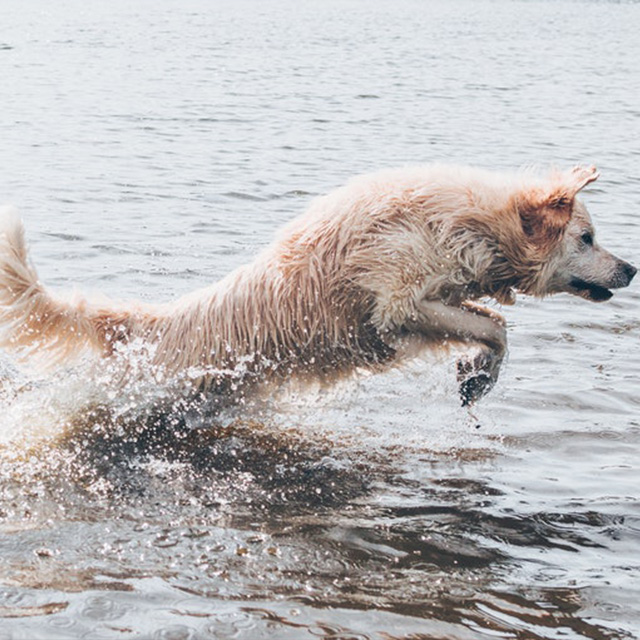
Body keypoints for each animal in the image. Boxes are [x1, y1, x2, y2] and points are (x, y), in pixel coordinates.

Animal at [0, 165, 632, 404]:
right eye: (588, 238)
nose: (631, 269)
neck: (468, 223)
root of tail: (149, 325)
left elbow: (494, 324)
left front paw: (477, 377)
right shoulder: (397, 301)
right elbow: (495, 328)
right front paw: (479, 373)